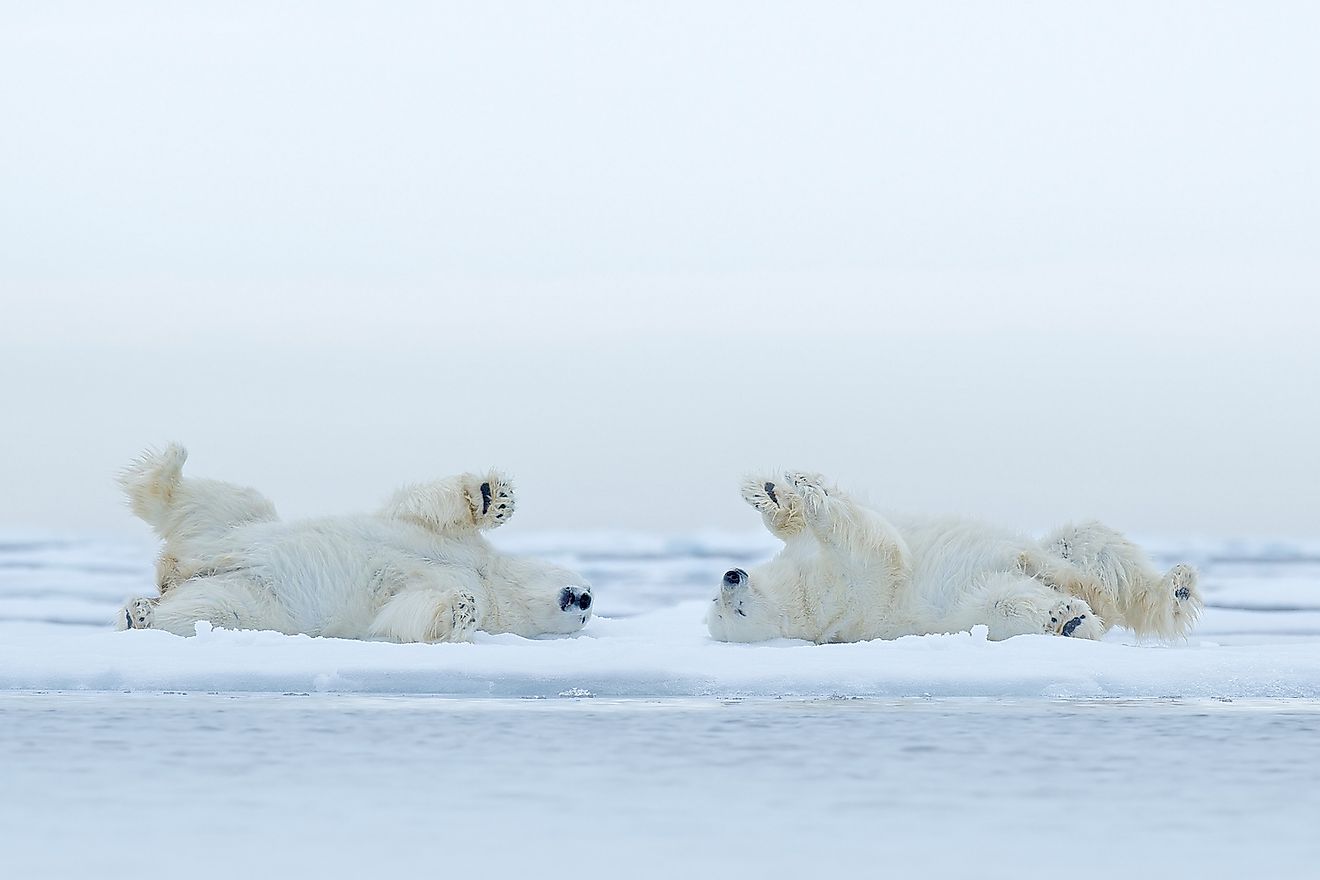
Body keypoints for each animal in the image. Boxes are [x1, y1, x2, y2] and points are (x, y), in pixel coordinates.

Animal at [118, 448, 594, 641]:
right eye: (586, 583)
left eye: (590, 613)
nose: (585, 597)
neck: (490, 580)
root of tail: (178, 572)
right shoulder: (450, 543)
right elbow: (421, 508)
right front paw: (493, 497)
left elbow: (406, 612)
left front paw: (461, 608)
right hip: (238, 528)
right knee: (220, 502)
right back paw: (168, 467)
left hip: (257, 603)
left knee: (210, 610)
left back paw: (141, 613)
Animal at [712, 472, 1209, 643]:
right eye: (730, 612)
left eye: (720, 602)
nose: (730, 576)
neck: (802, 592)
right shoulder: (849, 592)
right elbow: (878, 549)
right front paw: (813, 497)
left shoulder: (807, 562)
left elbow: (797, 525)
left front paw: (774, 490)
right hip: (970, 605)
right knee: (1009, 601)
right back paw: (1070, 617)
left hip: (1065, 552)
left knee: (1092, 546)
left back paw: (1176, 587)